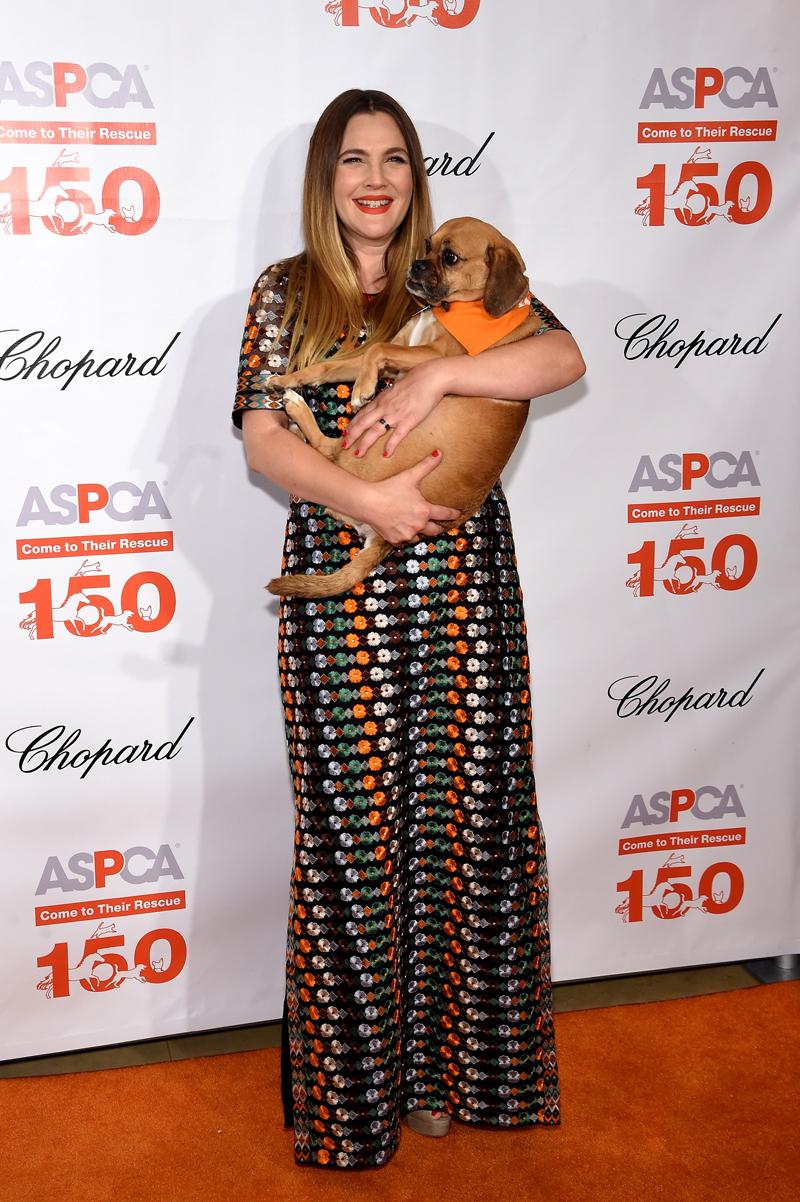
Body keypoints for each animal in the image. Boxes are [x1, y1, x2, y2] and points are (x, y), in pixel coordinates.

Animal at [264, 218, 538, 598]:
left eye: (450, 257)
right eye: (426, 245)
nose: (416, 265)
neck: (455, 310)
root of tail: (385, 541)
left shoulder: (432, 358)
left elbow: (377, 351)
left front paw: (362, 390)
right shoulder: (395, 357)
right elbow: (332, 365)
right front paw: (289, 378)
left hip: (367, 444)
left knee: (329, 450)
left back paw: (297, 411)